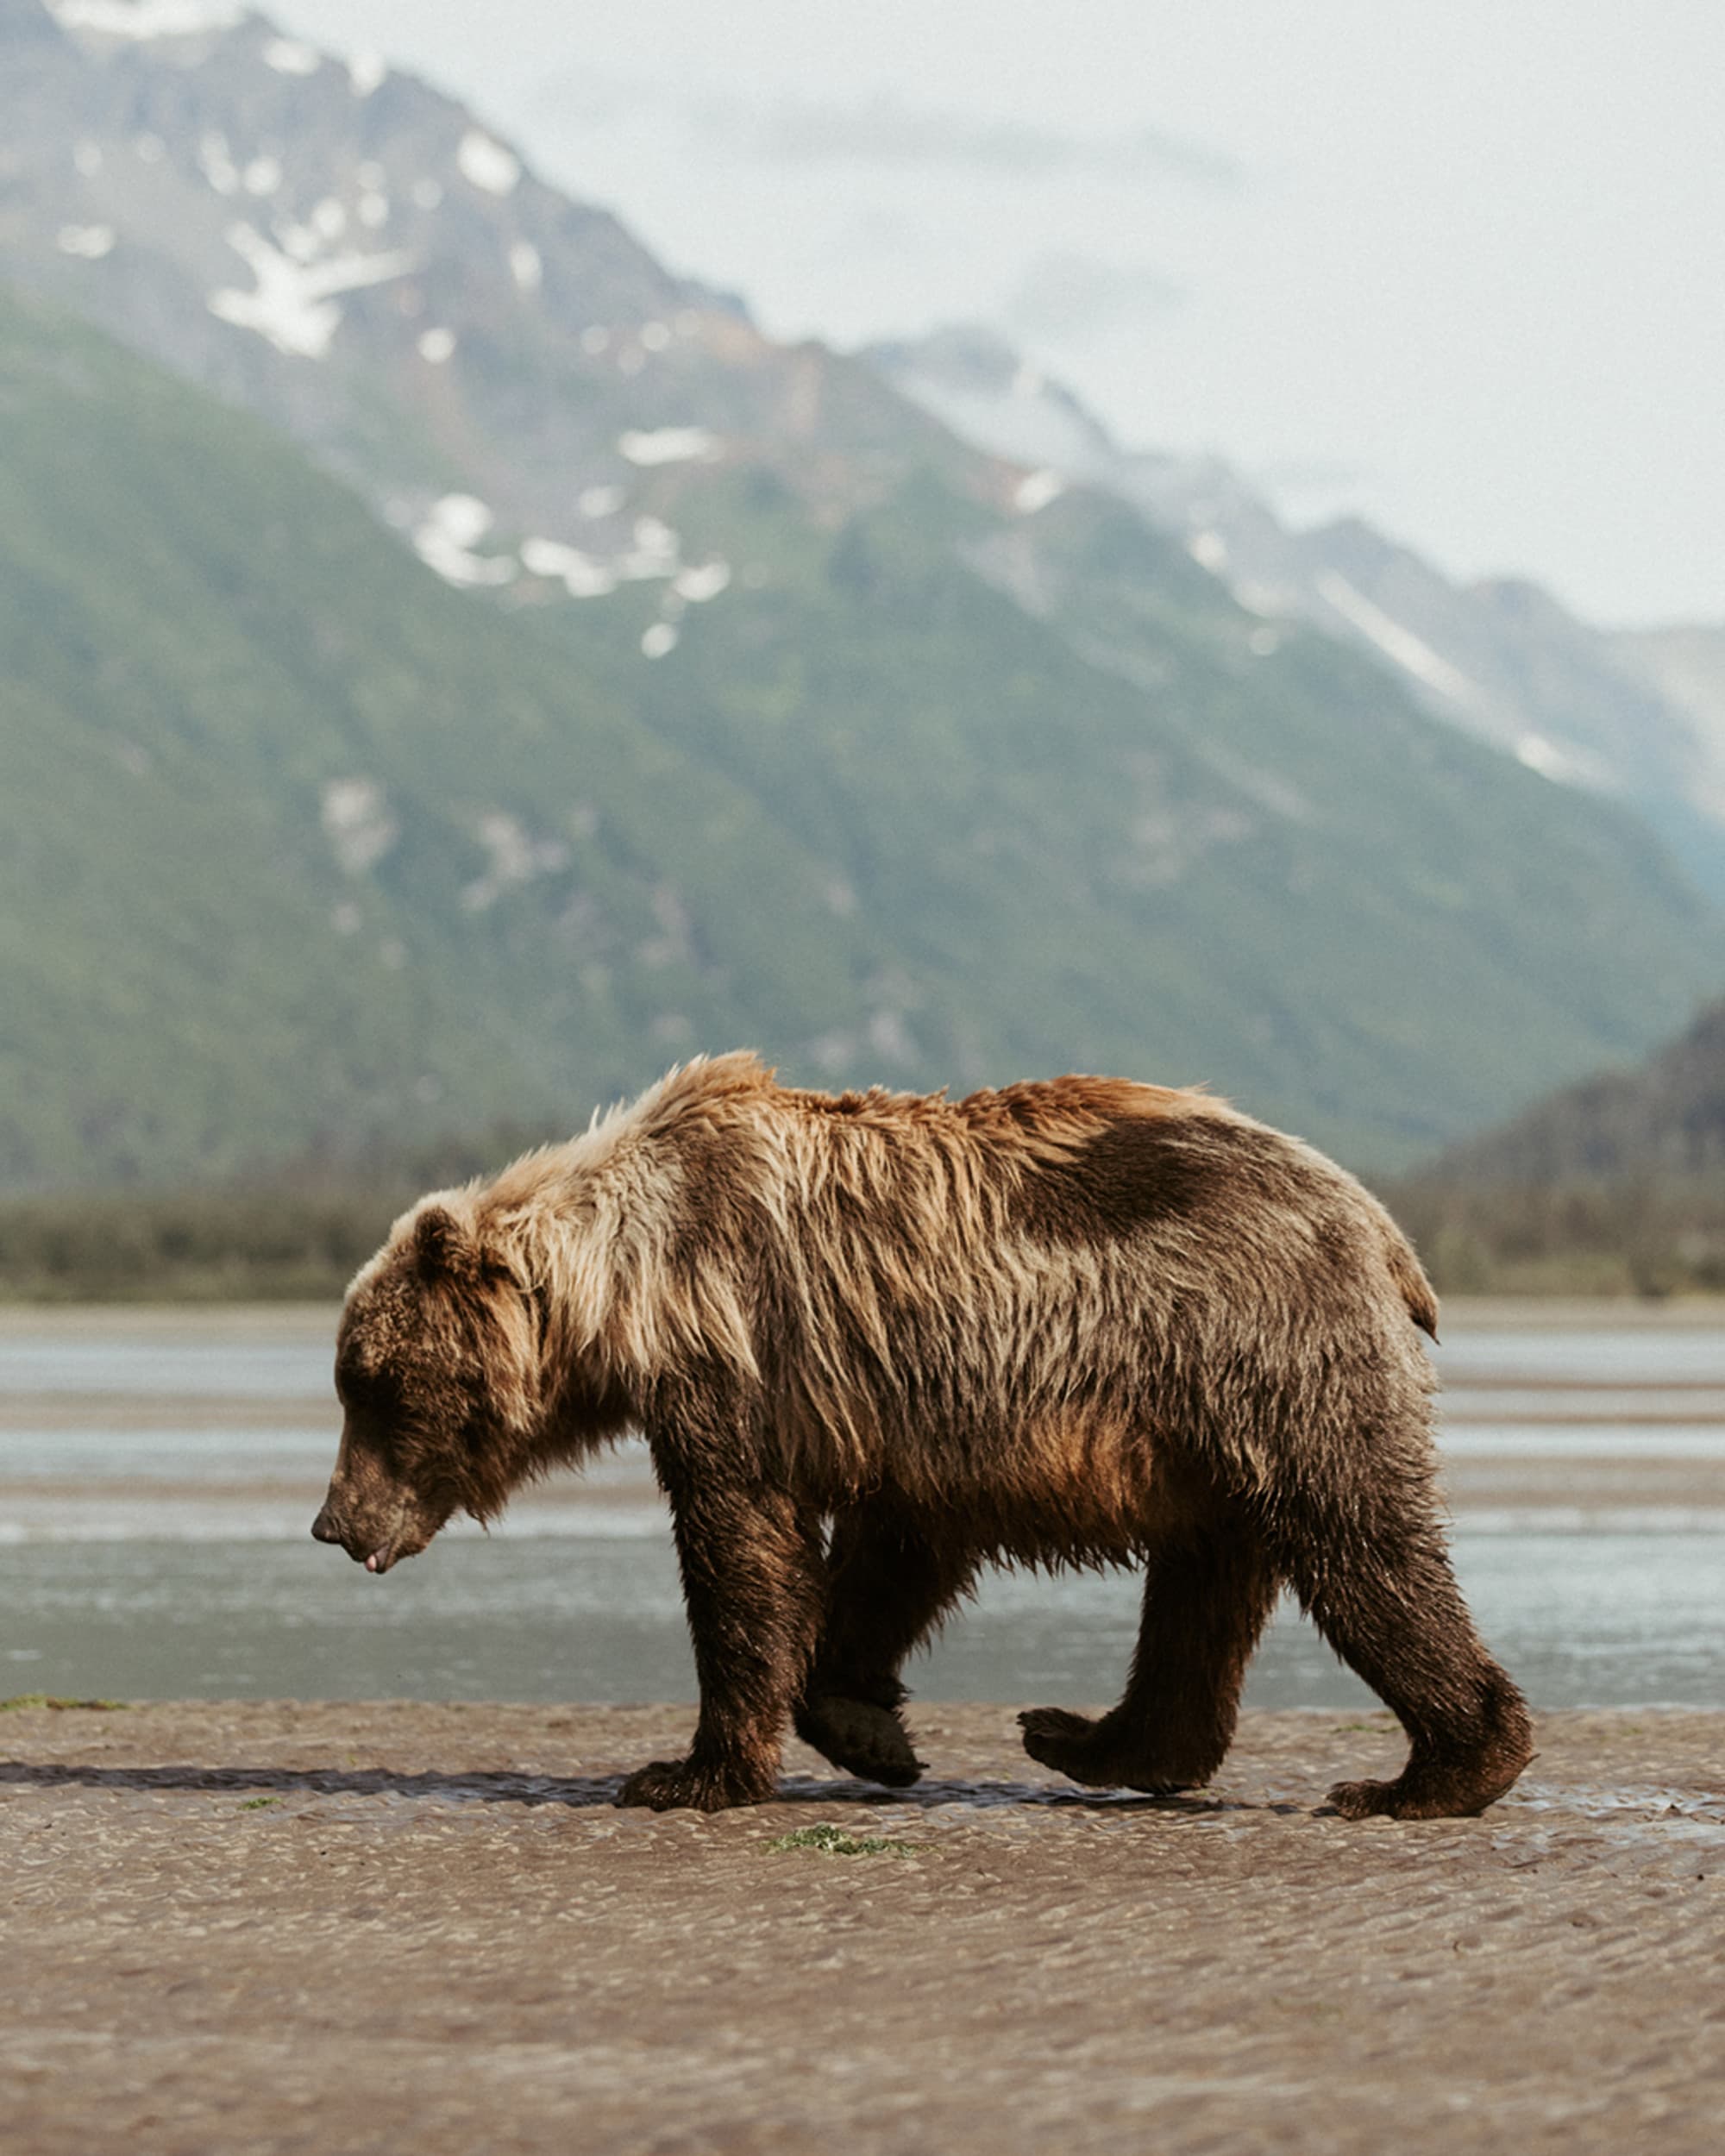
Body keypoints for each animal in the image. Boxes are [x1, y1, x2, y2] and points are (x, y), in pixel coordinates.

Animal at [312, 1052, 1535, 1811]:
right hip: (1208, 1427)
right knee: (1203, 1587)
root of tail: (1380, 1227)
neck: (626, 1284)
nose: (331, 1520)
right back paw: (1090, 1738)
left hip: (1270, 1358)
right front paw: (869, 1728)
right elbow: (889, 1557)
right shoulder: (899, 1415)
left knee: (1358, 1543)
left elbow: (739, 1556)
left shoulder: (737, 1363)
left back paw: (1427, 1772)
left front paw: (688, 1770)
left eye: (366, 1385)